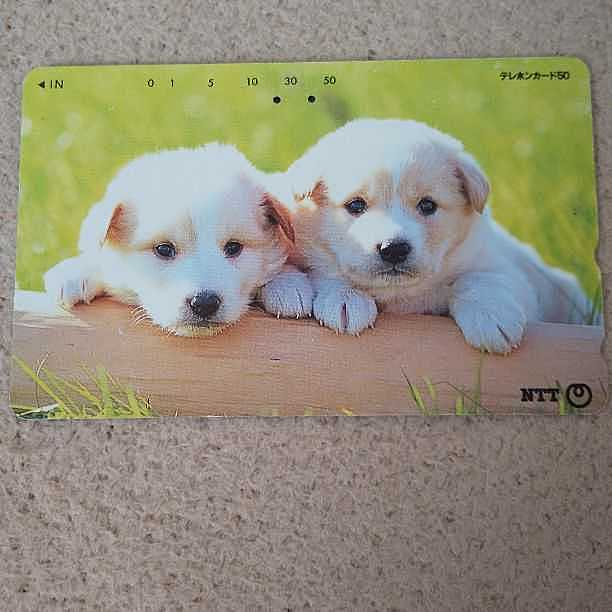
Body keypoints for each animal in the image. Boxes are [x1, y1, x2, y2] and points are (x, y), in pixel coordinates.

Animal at [276, 118, 595, 353]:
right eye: (356, 205)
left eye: (427, 206)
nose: (394, 248)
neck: (401, 296)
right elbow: (328, 272)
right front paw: (344, 300)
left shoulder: (499, 265)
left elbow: (481, 279)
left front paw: (491, 318)